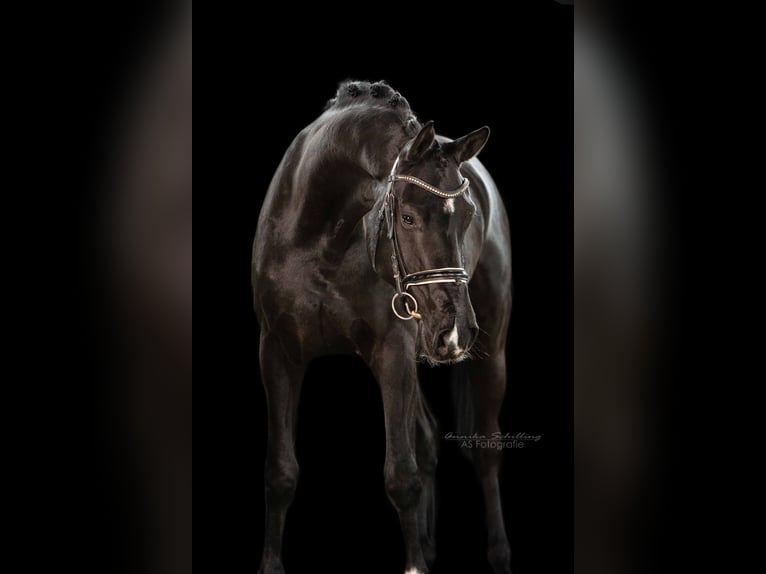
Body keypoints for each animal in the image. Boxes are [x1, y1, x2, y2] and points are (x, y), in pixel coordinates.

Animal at [252, 80, 512, 574]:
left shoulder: (393, 352)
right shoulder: (278, 351)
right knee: (427, 438)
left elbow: (401, 475)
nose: (457, 331)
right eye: (407, 216)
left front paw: (415, 566)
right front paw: (270, 565)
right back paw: (429, 544)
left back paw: (498, 553)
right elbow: (278, 471)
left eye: (468, 215)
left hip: (488, 349)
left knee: (486, 450)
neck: (320, 233)